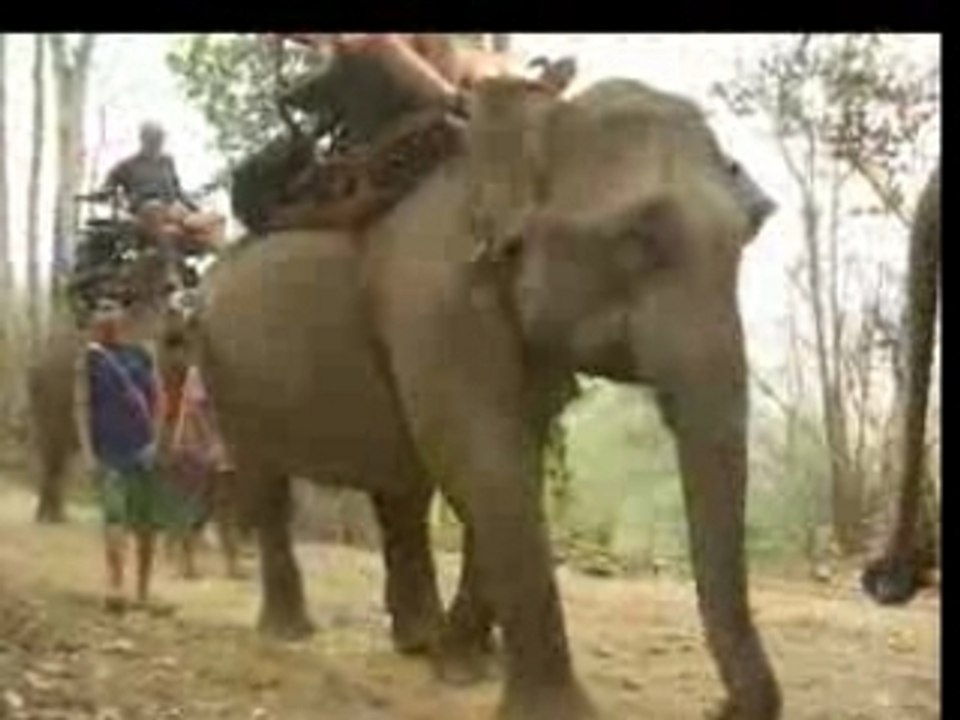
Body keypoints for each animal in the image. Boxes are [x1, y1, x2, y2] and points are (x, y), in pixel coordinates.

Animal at [197, 77, 781, 719]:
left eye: (748, 237)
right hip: (223, 372)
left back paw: (417, 641)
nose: (716, 707)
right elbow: (486, 457)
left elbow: (505, 456)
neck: (536, 121)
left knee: (401, 490)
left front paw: (462, 665)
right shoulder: (436, 300)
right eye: (635, 239)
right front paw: (536, 703)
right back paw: (290, 634)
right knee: (268, 486)